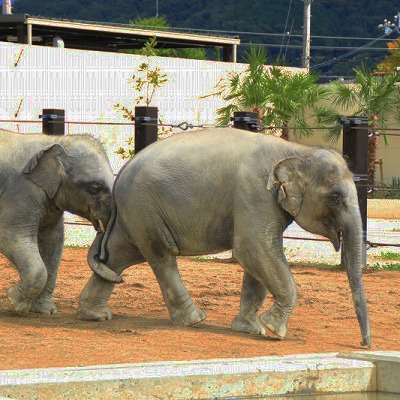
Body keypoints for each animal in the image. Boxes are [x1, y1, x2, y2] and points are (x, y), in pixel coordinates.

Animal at [0, 130, 113, 318]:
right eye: (95, 188)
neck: (54, 140)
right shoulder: (18, 193)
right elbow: (8, 237)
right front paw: (15, 302)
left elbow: (53, 242)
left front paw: (47, 311)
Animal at [79, 127, 370, 346]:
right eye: (335, 197)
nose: (364, 344)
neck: (296, 150)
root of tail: (120, 176)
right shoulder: (255, 193)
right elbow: (253, 249)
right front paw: (274, 329)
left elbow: (258, 258)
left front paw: (250, 329)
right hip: (145, 208)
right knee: (162, 255)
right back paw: (194, 320)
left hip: (136, 214)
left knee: (119, 256)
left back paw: (94, 315)